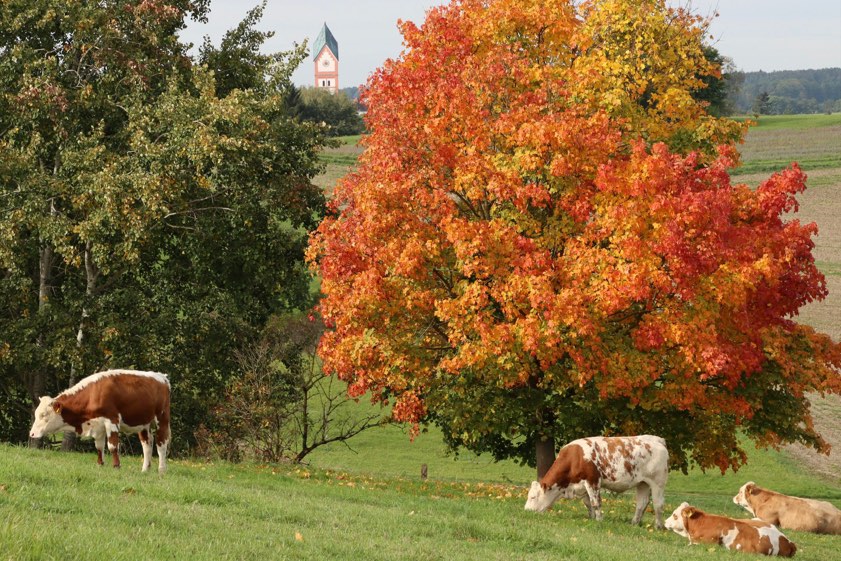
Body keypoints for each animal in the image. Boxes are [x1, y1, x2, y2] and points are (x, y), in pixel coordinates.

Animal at [29, 369, 171, 473]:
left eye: (43, 415)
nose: (32, 434)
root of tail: (162, 377)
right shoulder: (97, 425)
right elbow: (99, 446)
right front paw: (100, 464)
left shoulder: (111, 420)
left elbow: (112, 446)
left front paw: (116, 466)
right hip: (143, 423)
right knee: (147, 444)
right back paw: (145, 470)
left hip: (162, 419)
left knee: (161, 443)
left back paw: (161, 470)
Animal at [524, 435, 669, 528]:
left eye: (533, 497)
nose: (526, 511)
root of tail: (657, 439)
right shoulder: (582, 486)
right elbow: (588, 504)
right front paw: (591, 518)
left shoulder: (592, 481)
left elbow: (596, 503)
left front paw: (599, 520)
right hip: (643, 483)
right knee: (642, 503)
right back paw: (634, 523)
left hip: (658, 482)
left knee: (658, 504)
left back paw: (658, 526)